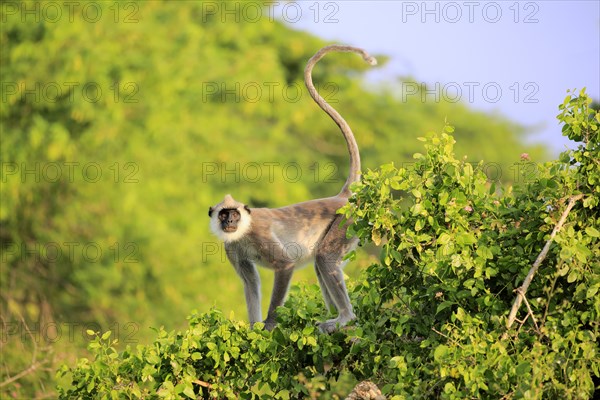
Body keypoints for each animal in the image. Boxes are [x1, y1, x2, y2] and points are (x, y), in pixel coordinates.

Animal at [210, 43, 376, 332]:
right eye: (223, 214)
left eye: (234, 214)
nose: (229, 221)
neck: (243, 231)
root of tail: (342, 196)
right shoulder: (232, 248)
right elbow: (250, 282)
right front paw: (252, 328)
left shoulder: (260, 235)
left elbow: (285, 266)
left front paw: (268, 326)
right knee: (322, 263)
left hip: (347, 221)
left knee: (325, 257)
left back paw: (345, 317)